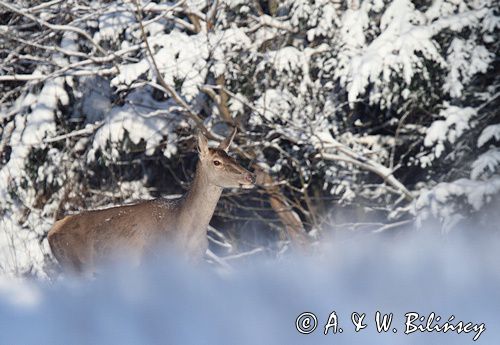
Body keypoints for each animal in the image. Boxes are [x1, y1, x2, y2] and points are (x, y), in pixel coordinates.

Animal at [47, 127, 256, 272]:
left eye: (232, 157)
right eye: (217, 162)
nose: (251, 176)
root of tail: (50, 232)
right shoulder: (155, 260)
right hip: (75, 266)